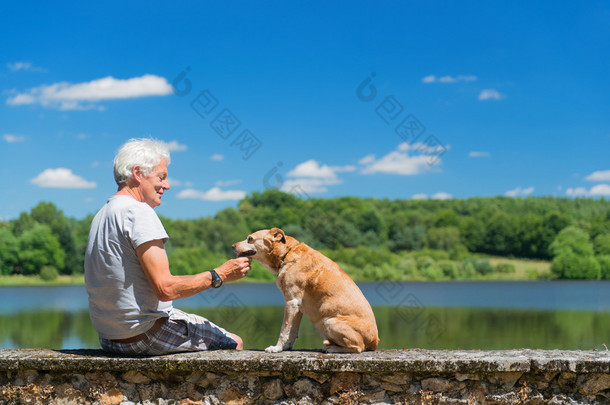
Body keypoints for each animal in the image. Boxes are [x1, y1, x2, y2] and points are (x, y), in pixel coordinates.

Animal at [230, 226, 378, 352]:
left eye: (250, 238)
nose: (232, 246)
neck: (286, 254)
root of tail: (375, 341)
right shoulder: (298, 307)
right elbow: (293, 332)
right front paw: (287, 347)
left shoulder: (291, 302)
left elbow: (284, 330)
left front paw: (276, 348)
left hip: (329, 321)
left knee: (358, 347)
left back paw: (332, 348)